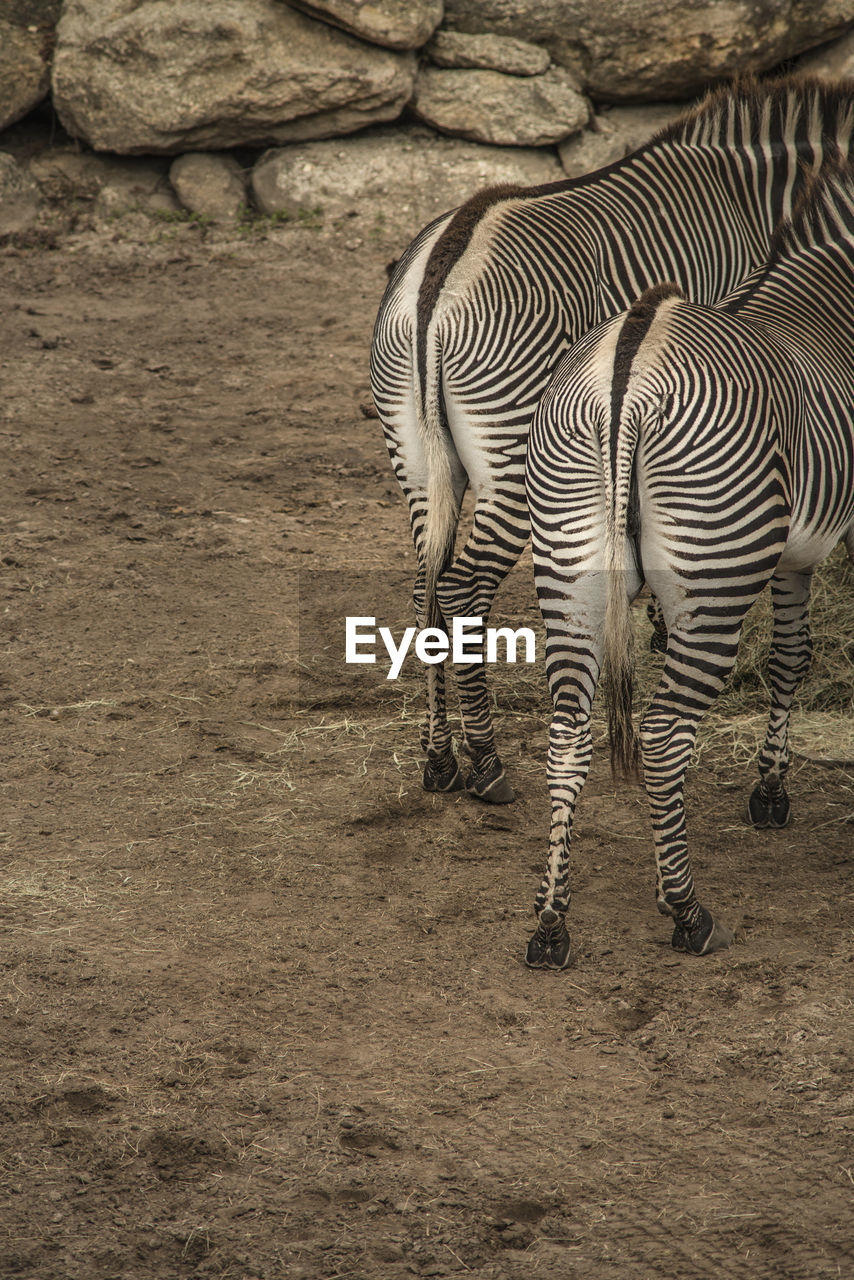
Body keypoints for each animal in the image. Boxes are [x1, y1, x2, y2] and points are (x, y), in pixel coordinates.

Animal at [368, 74, 854, 803]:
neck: (760, 193)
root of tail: (438, 274)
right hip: (510, 454)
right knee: (462, 591)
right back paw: (485, 763)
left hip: (417, 457)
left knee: (426, 587)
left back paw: (439, 758)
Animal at [524, 160, 854, 962]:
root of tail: (627, 369)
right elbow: (792, 657)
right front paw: (770, 791)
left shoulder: (791, 554)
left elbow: (790, 655)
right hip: (714, 572)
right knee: (664, 736)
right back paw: (687, 911)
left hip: (571, 566)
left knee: (567, 733)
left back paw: (551, 922)